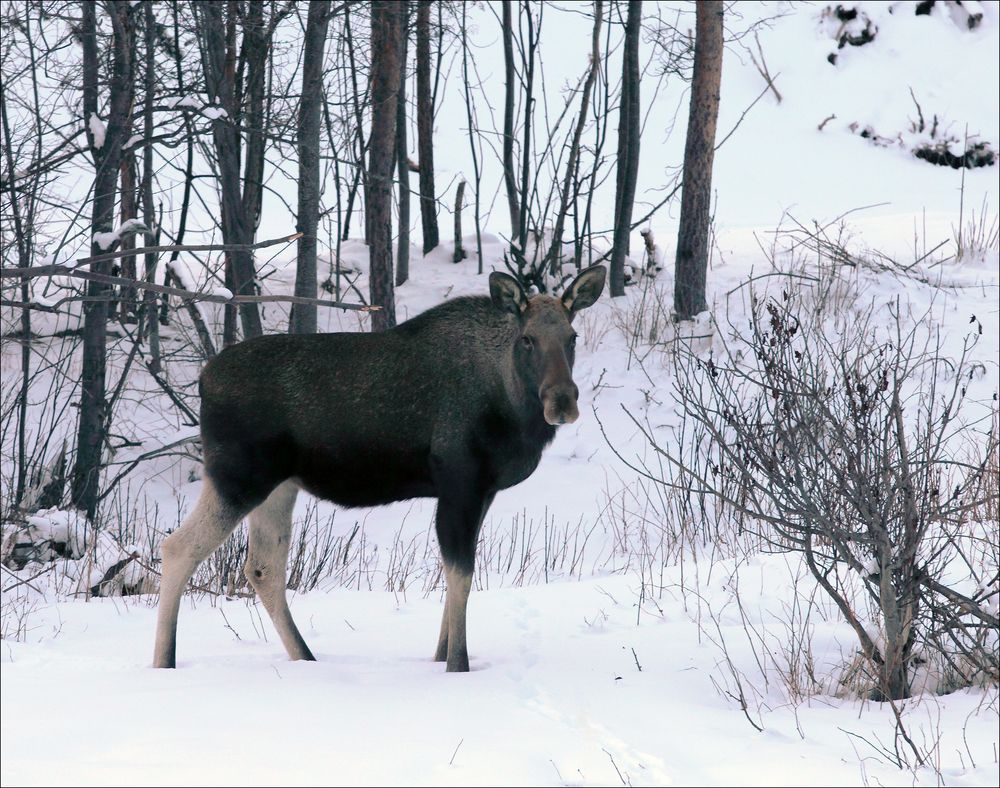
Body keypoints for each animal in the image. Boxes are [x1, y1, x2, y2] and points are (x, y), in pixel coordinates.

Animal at [154, 264, 608, 672]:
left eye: (572, 337)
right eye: (527, 339)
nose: (562, 401)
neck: (511, 406)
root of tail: (203, 379)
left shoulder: (481, 491)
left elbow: (456, 574)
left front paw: (441, 655)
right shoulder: (460, 481)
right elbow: (460, 575)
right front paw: (457, 665)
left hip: (278, 486)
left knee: (263, 566)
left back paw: (306, 659)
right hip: (238, 476)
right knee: (178, 547)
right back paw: (164, 662)